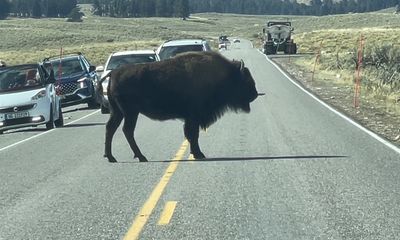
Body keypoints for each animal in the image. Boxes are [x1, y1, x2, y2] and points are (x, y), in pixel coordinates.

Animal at [98, 51, 258, 163]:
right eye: (245, 79)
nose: (255, 94)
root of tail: (114, 73)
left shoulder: (191, 118)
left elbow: (191, 134)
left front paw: (196, 153)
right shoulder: (194, 117)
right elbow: (193, 134)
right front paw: (198, 154)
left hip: (118, 112)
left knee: (111, 128)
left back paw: (111, 157)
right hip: (130, 112)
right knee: (127, 130)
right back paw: (141, 156)